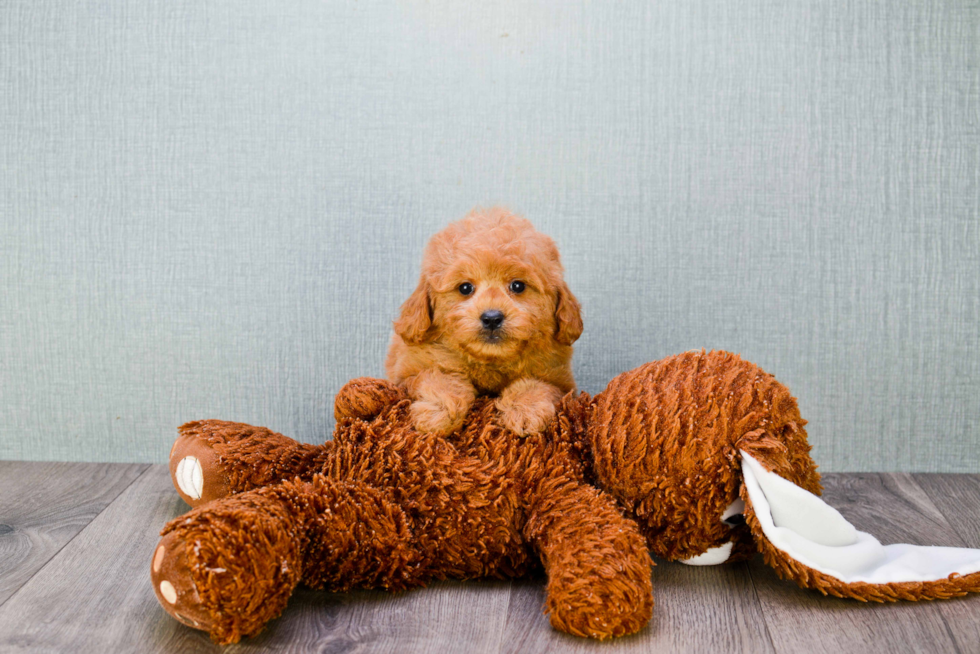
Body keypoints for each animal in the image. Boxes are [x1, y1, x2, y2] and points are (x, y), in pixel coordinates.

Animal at [382, 208, 580, 438]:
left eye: (518, 286)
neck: (489, 360)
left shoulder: (561, 382)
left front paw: (525, 412)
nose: (492, 317)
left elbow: (537, 384)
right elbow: (437, 377)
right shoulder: (407, 375)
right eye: (465, 288)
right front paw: (438, 413)